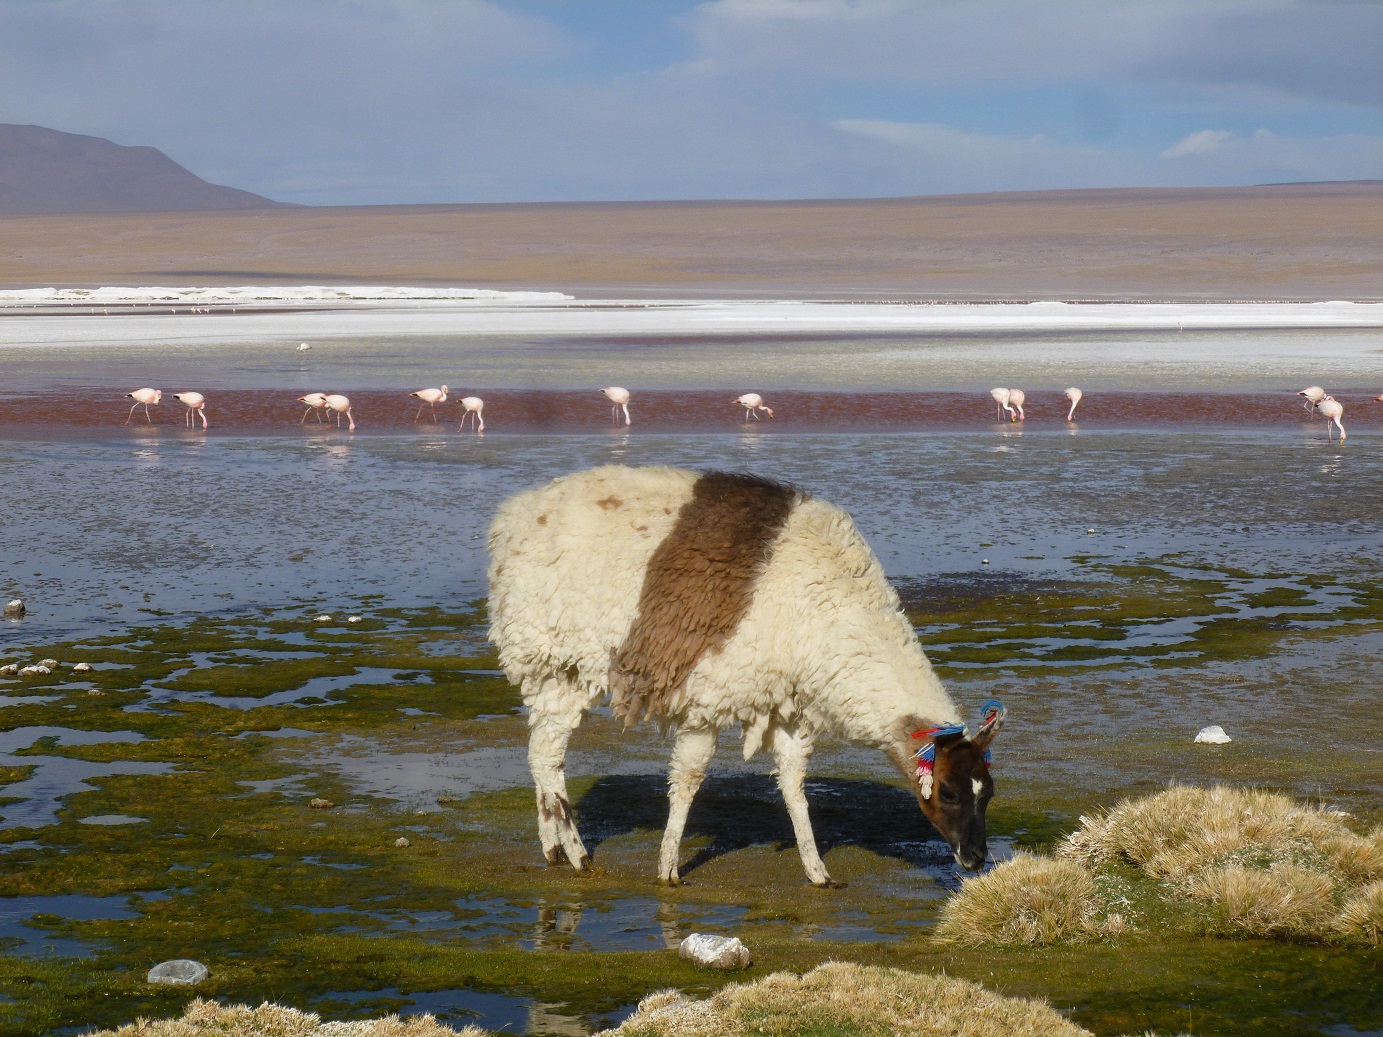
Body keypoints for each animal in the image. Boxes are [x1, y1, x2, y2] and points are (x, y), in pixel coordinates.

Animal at [487, 465, 1005, 887]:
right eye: (948, 791)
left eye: (988, 793)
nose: (976, 858)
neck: (827, 608)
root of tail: (513, 517)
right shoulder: (708, 697)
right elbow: (689, 779)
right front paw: (668, 868)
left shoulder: (791, 704)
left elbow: (794, 786)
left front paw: (816, 870)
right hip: (557, 659)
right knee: (548, 756)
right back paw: (577, 855)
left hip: (555, 671)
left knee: (539, 752)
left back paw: (553, 849)